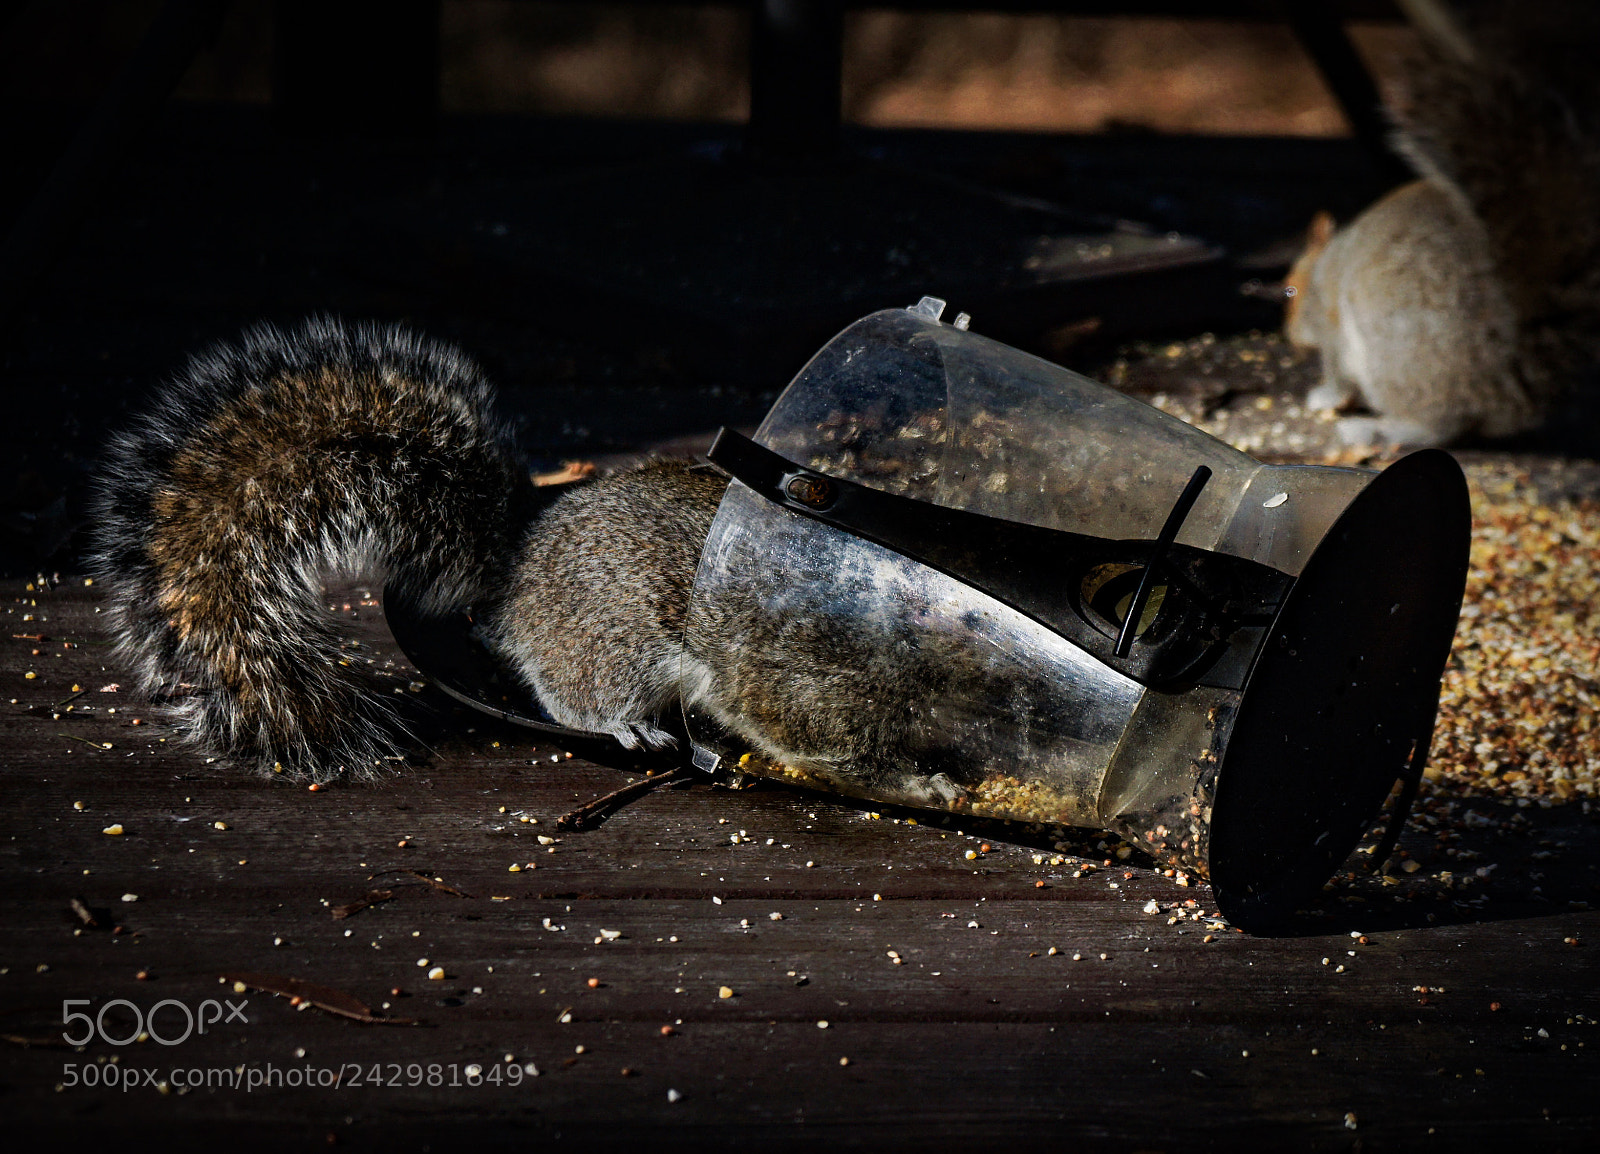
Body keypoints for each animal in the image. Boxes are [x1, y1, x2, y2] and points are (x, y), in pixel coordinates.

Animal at [91, 317, 1037, 800]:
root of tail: (518, 564)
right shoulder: (798, 689)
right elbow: (819, 740)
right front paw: (927, 782)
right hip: (610, 637)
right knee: (572, 683)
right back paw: (622, 723)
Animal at [1283, 0, 1600, 447]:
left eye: (1290, 291)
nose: (1290, 339)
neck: (1327, 258)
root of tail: (1508, 384)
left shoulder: (1327, 320)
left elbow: (1335, 369)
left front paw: (1324, 395)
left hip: (1394, 342)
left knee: (1440, 424)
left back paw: (1378, 428)